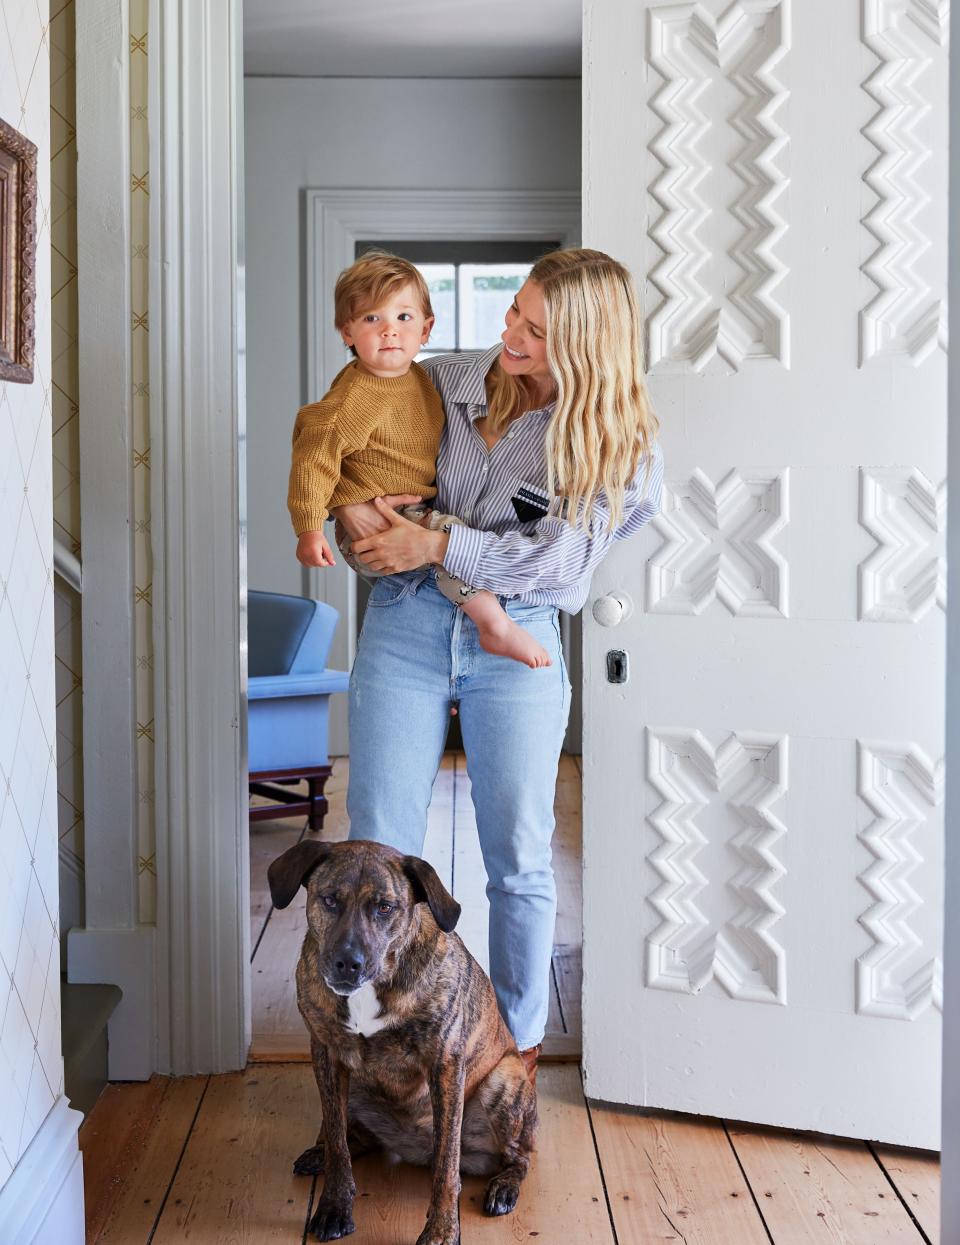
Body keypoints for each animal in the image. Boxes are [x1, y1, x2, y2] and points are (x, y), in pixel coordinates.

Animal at [268, 836, 540, 1245]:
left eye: (385, 907)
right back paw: (321, 1153)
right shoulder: (327, 1056)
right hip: (354, 1087)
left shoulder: (445, 1066)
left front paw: (442, 1231)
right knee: (349, 1138)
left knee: (518, 1156)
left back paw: (504, 1186)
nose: (349, 963)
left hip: (504, 1082)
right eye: (330, 899)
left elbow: (446, 1165)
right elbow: (337, 1142)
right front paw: (334, 1207)